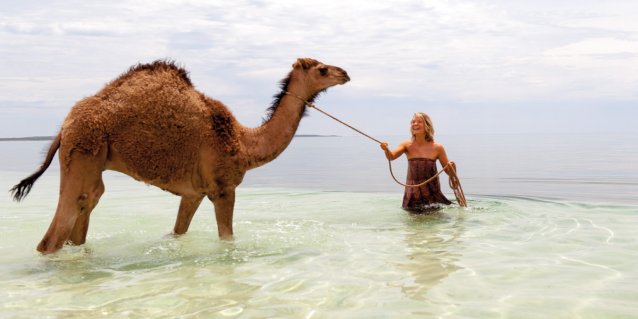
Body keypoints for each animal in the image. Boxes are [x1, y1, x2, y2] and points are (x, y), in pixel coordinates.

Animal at [8, 57, 350, 255]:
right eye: (322, 69)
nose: (345, 73)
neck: (244, 141)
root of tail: (63, 128)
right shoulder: (223, 188)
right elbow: (227, 238)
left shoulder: (194, 193)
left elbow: (177, 231)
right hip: (82, 151)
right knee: (55, 234)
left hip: (87, 162)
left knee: (84, 210)